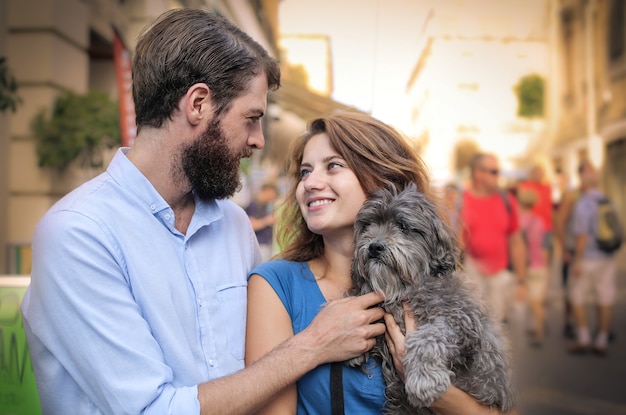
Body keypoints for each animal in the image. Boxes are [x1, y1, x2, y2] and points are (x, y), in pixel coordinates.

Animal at [348, 185, 516, 415]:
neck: (406, 288)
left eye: (402, 226)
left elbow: (427, 337)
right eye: (368, 225)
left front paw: (424, 380)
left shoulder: (462, 321)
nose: (374, 247)